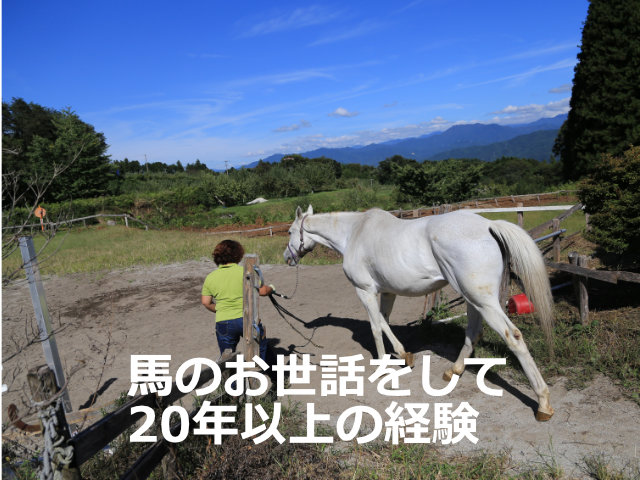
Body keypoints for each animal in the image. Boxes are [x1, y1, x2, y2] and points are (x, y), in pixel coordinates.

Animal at [283, 205, 555, 421]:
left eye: (289, 232)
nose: (287, 258)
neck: (353, 234)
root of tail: (489, 225)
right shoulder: (387, 292)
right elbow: (384, 321)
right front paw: (403, 355)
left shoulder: (365, 290)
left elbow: (375, 326)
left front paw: (383, 366)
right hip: (475, 299)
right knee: (473, 333)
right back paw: (453, 371)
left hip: (483, 300)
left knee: (513, 336)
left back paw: (543, 403)